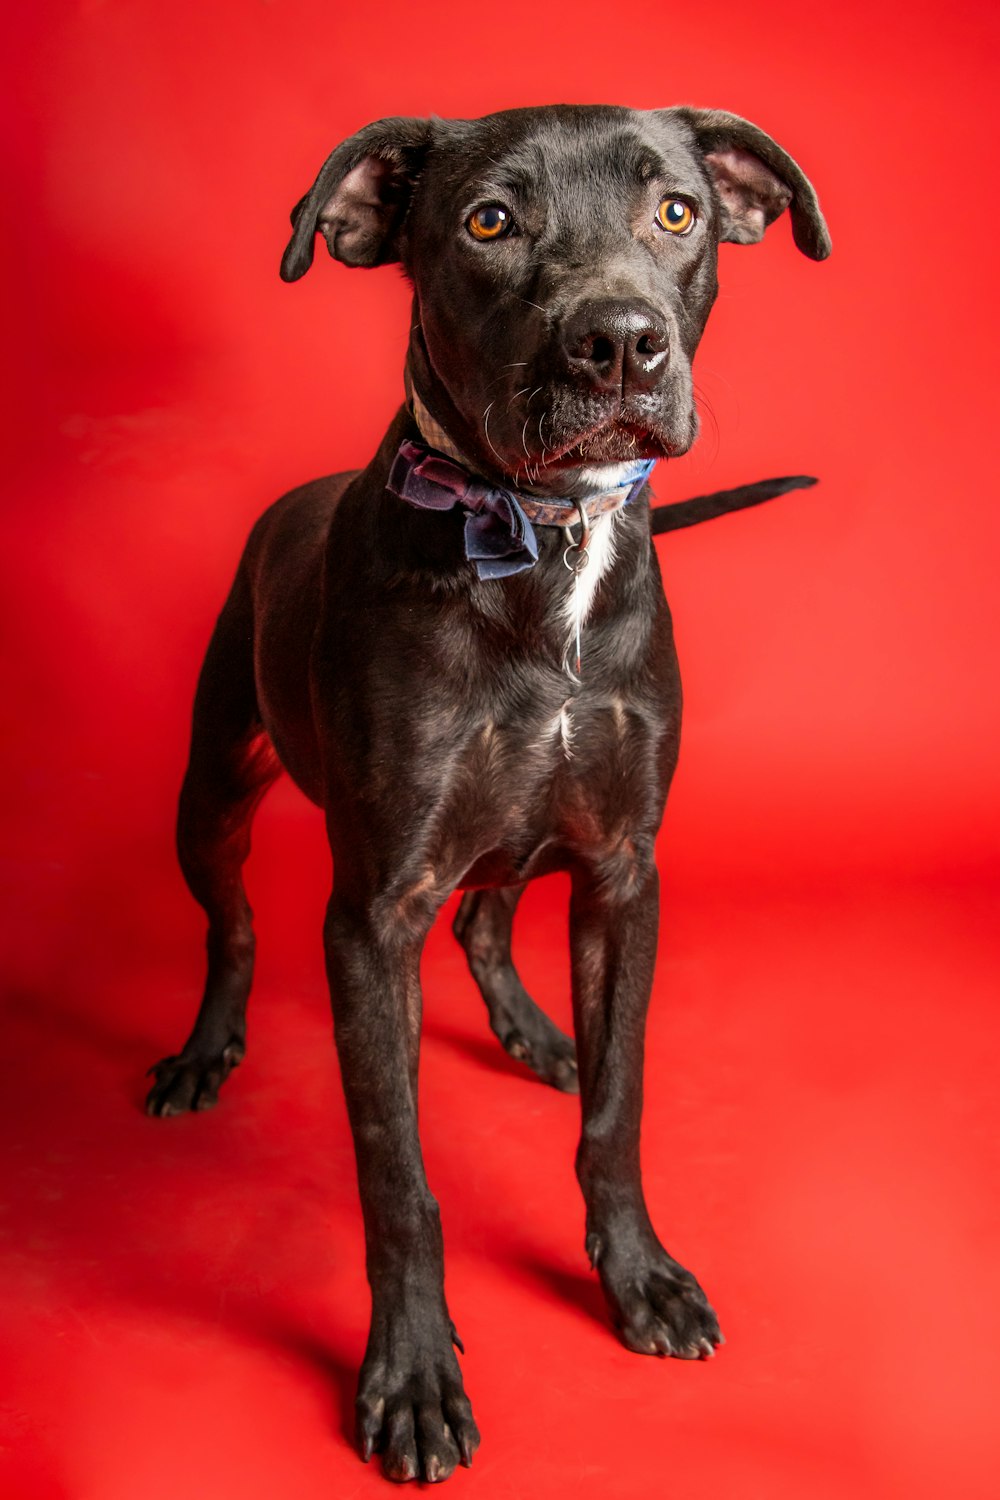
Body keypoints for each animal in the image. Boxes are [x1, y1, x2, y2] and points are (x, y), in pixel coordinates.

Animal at [146, 102, 827, 1476]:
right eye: (489, 221)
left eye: (677, 210)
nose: (618, 340)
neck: (541, 538)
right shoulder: (371, 918)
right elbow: (396, 1176)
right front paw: (411, 1375)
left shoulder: (621, 870)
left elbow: (618, 1108)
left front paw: (638, 1276)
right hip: (213, 788)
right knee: (232, 924)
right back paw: (204, 1051)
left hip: (526, 837)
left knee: (486, 915)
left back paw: (532, 1029)